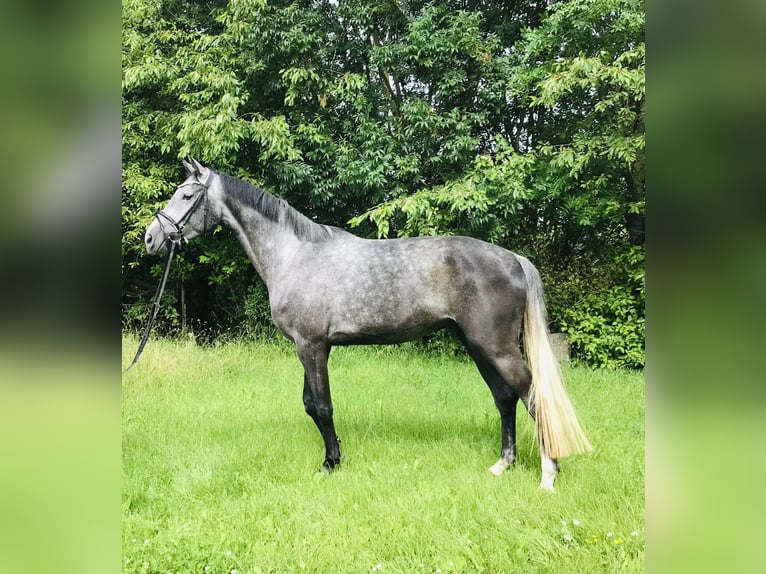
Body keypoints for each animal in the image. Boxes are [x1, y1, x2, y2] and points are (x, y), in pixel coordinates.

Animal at [144, 160, 592, 492]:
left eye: (187, 195)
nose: (151, 238)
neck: (295, 255)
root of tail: (514, 259)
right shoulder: (312, 346)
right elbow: (310, 405)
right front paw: (335, 456)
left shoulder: (311, 346)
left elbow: (322, 406)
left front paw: (330, 464)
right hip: (478, 346)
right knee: (505, 398)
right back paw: (503, 465)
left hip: (495, 347)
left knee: (533, 396)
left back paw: (548, 475)